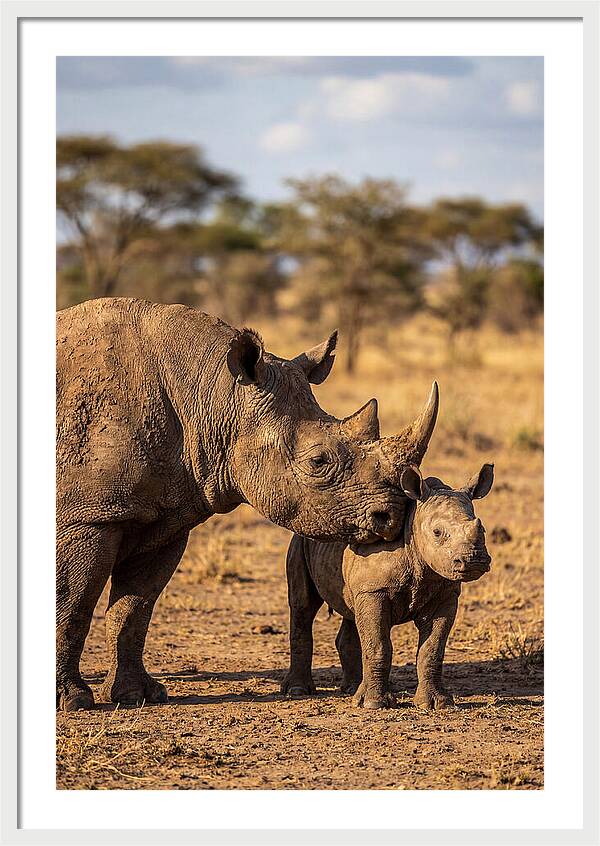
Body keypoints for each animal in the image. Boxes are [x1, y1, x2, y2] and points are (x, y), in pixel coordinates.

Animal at [56, 297, 419, 711]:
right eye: (318, 461)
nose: (392, 516)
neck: (214, 397)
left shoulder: (166, 518)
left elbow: (134, 609)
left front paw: (137, 696)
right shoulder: (90, 516)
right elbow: (72, 602)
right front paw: (73, 701)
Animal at [281, 461, 494, 710]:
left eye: (483, 529)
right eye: (437, 532)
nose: (474, 560)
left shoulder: (445, 594)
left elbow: (432, 649)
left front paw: (436, 703)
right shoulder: (375, 590)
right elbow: (378, 645)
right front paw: (374, 704)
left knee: (351, 612)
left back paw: (352, 689)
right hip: (300, 540)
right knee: (303, 606)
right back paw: (298, 690)